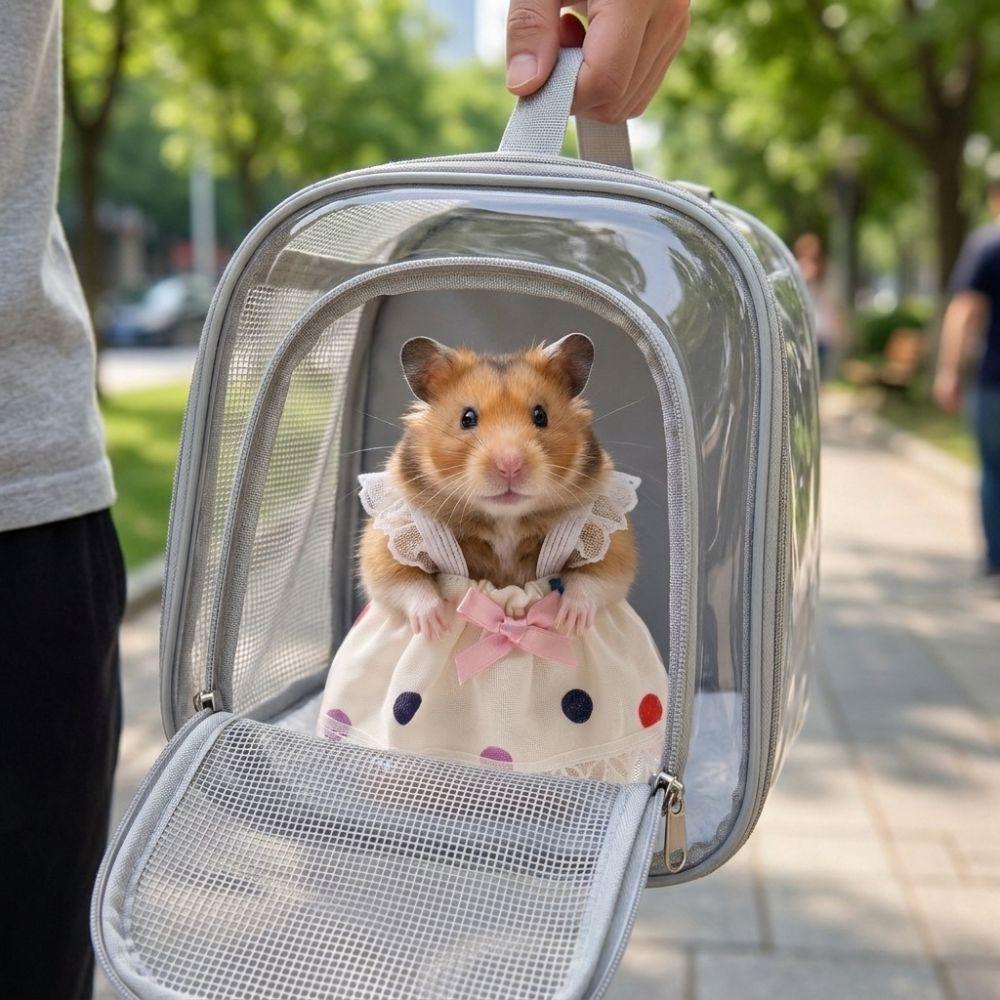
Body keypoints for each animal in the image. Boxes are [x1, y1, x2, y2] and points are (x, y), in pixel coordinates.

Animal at [359, 333, 637, 640]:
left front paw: (570, 622)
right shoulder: (396, 533)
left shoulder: (604, 534)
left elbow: (599, 574)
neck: (506, 519)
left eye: (541, 415)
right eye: (467, 418)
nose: (510, 465)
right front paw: (435, 627)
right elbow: (397, 577)